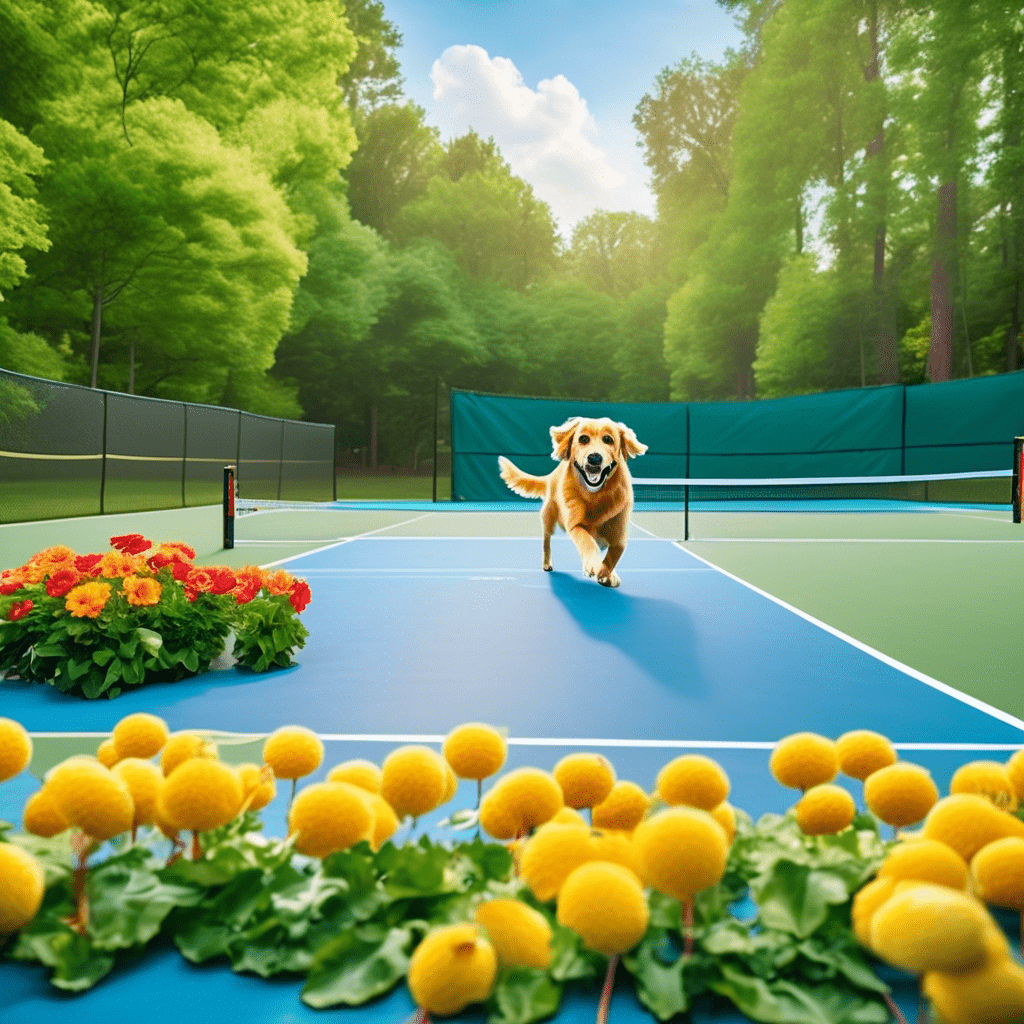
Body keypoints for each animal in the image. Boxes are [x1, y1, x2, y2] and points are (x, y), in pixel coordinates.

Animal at [497, 413, 647, 589]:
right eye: (583, 439)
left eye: (608, 439)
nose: (594, 458)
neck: (596, 496)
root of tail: (552, 474)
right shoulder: (575, 525)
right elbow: (587, 542)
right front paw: (595, 564)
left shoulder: (619, 533)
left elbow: (614, 553)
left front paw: (607, 574)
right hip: (549, 518)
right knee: (546, 541)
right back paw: (547, 563)